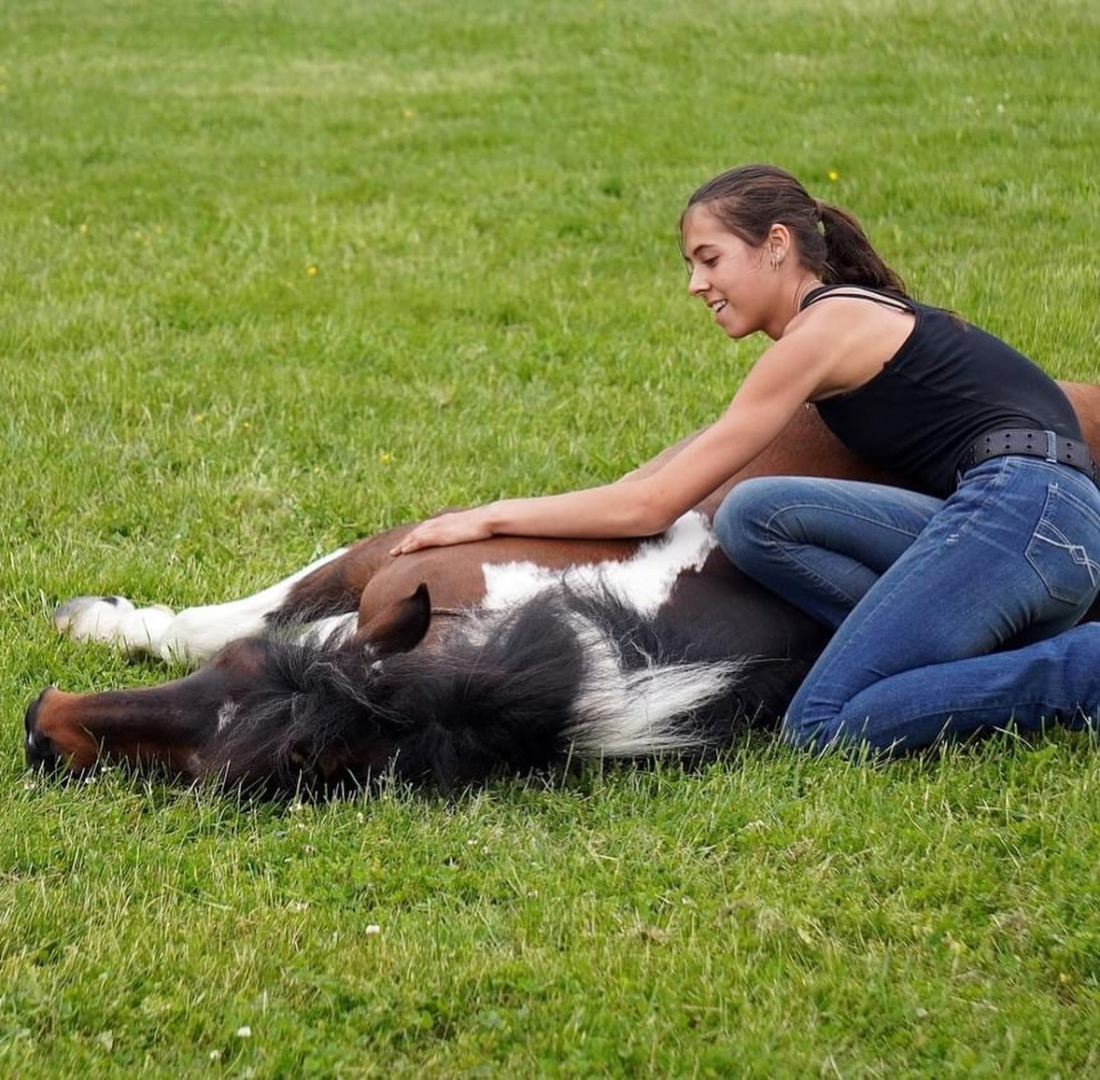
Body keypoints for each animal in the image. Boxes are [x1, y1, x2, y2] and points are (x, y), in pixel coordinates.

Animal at [25, 389, 1100, 796]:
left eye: (266, 772)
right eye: (241, 675)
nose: (45, 729)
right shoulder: (392, 559)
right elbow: (243, 610)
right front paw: (105, 620)